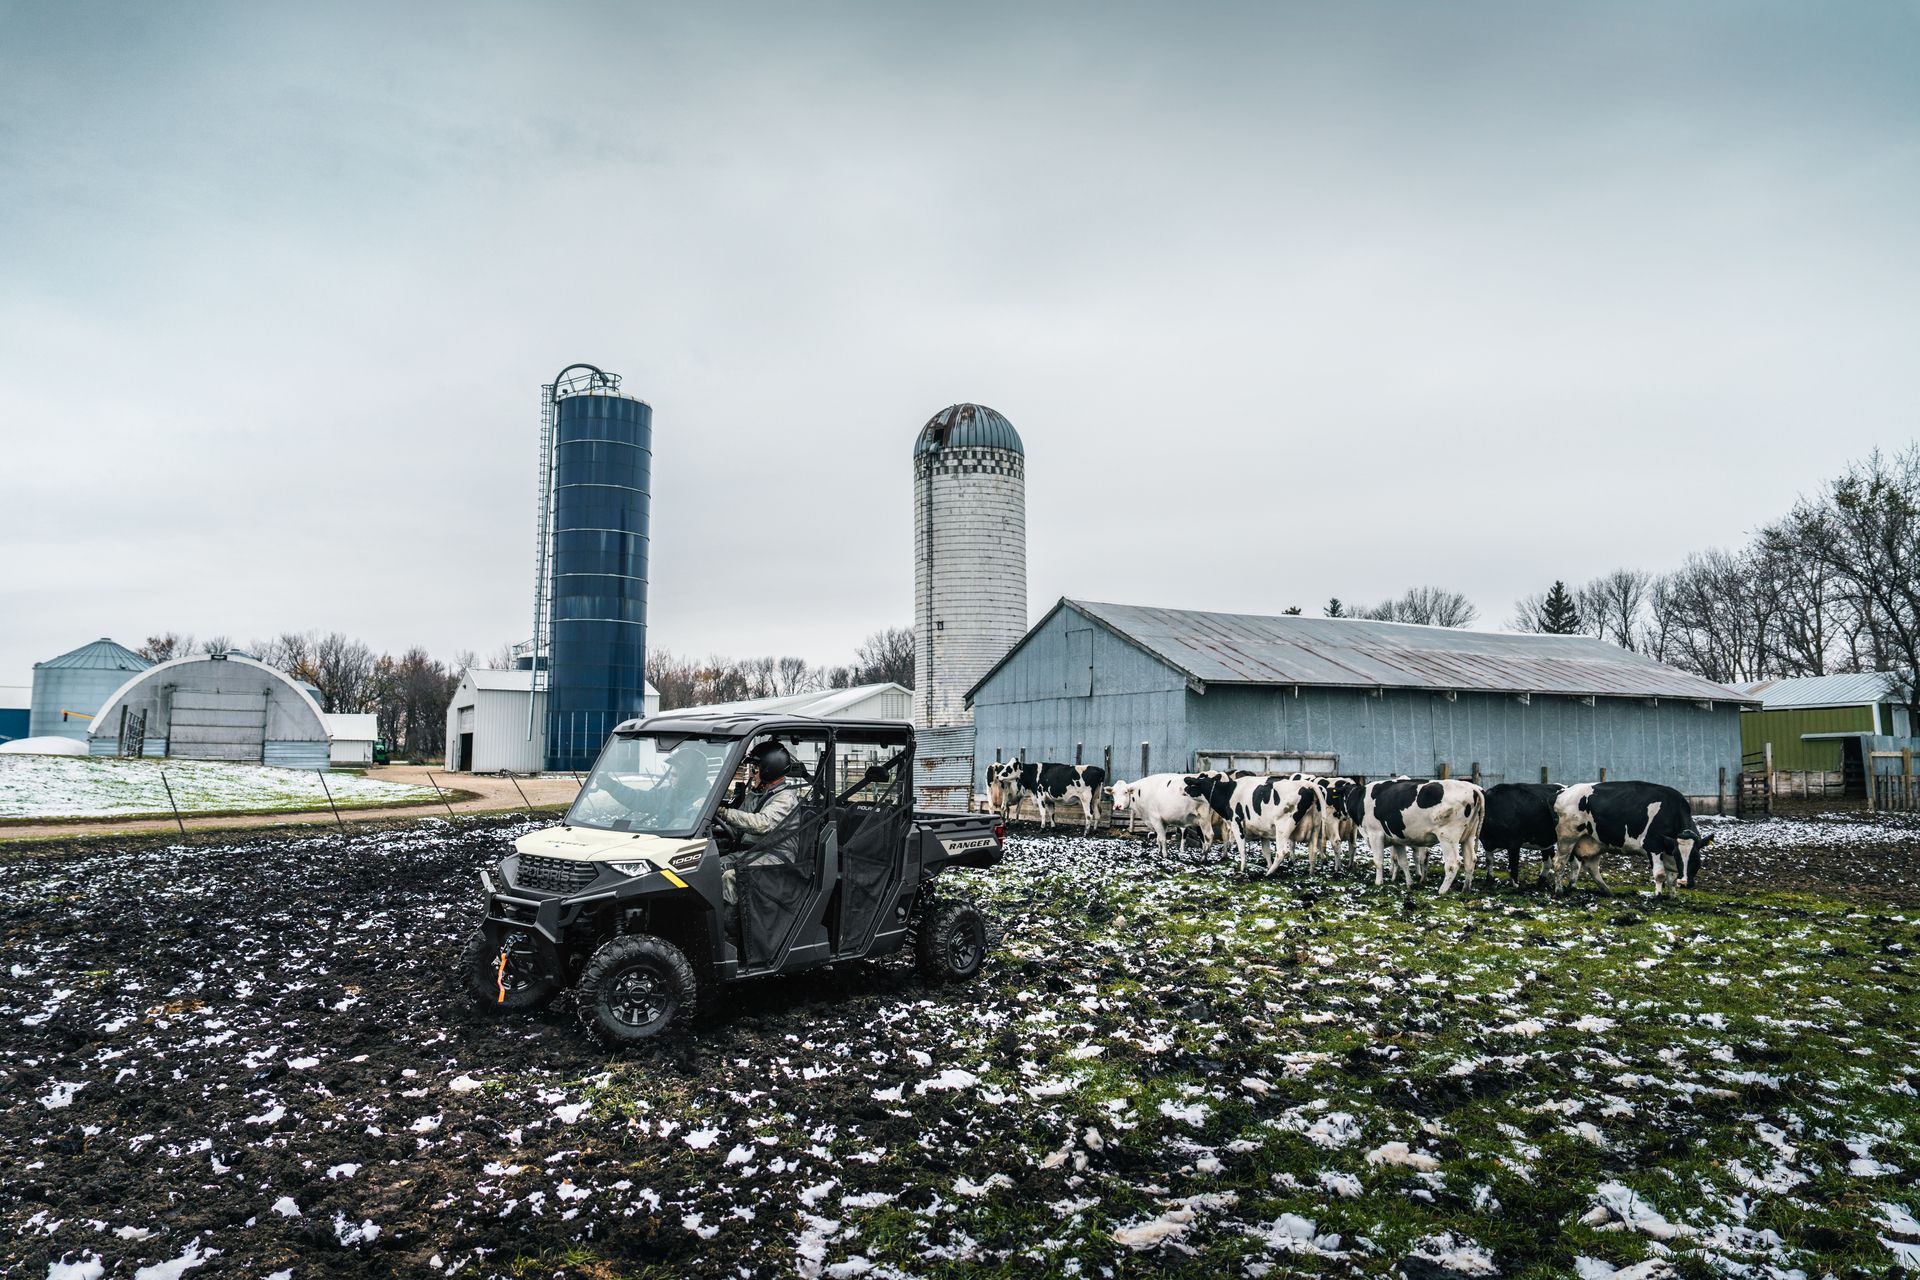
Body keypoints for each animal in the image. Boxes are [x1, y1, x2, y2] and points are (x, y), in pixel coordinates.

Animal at [1182, 775, 1320, 875]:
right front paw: (1268, 865)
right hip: (1315, 828)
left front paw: (1242, 869)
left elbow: (1242, 848)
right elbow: (1266, 852)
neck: (1229, 793)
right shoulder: (1263, 832)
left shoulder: (1236, 822)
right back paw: (1310, 874)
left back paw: (1269, 874)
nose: (1184, 790)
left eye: (1194, 785)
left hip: (1283, 828)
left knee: (1282, 852)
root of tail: (1307, 785)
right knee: (1313, 851)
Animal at [1344, 775, 1489, 898]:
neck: (1360, 798)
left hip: (1448, 837)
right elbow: (1403, 862)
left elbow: (1378, 861)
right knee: (1471, 861)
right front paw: (1409, 884)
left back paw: (1442, 890)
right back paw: (1466, 889)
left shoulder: (1375, 834)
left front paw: (1378, 882)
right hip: (1468, 837)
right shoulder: (1397, 840)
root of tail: (1473, 788)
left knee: (1453, 863)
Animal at [1551, 775, 1720, 898]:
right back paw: (1559, 892)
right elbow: (1660, 875)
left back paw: (1607, 891)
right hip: (1567, 837)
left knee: (1591, 867)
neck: (1670, 811)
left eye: (1696, 857)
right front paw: (1658, 897)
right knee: (1559, 863)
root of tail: (1564, 791)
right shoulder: (1653, 844)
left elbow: (1671, 877)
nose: (1684, 883)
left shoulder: (1669, 848)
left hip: (1595, 841)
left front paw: (1673, 897)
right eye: (1680, 856)